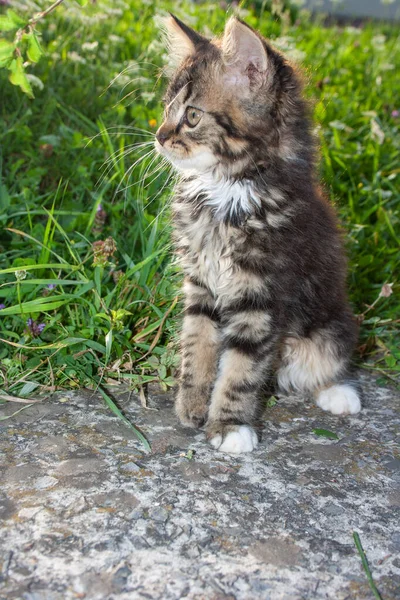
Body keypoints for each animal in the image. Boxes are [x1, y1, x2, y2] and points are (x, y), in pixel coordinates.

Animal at [155, 14, 360, 454]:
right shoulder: (201, 286)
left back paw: (340, 393)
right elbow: (197, 345)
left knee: (326, 362)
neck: (226, 193)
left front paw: (229, 426)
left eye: (192, 116)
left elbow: (241, 368)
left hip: (332, 325)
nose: (159, 137)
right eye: (165, 109)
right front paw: (192, 405)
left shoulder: (261, 295)